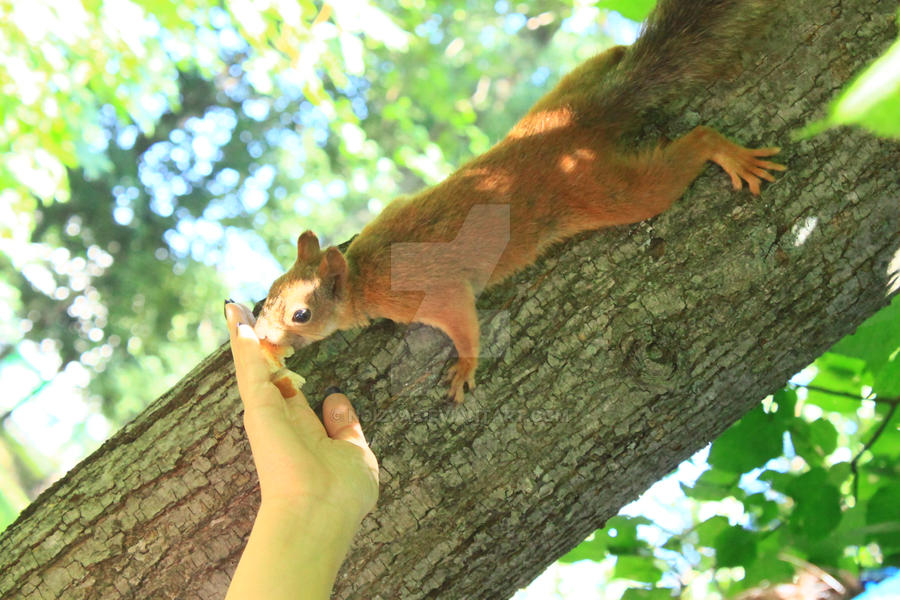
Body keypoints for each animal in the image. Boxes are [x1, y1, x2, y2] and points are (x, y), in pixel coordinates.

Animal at [252, 0, 786, 404]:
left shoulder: (430, 292)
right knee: (607, 61)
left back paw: (724, 152)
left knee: (683, 155)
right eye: (266, 295)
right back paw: (619, 54)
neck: (362, 269)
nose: (262, 338)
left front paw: (465, 369)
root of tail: (575, 132)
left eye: (301, 315)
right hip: (560, 98)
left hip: (607, 191)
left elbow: (462, 322)